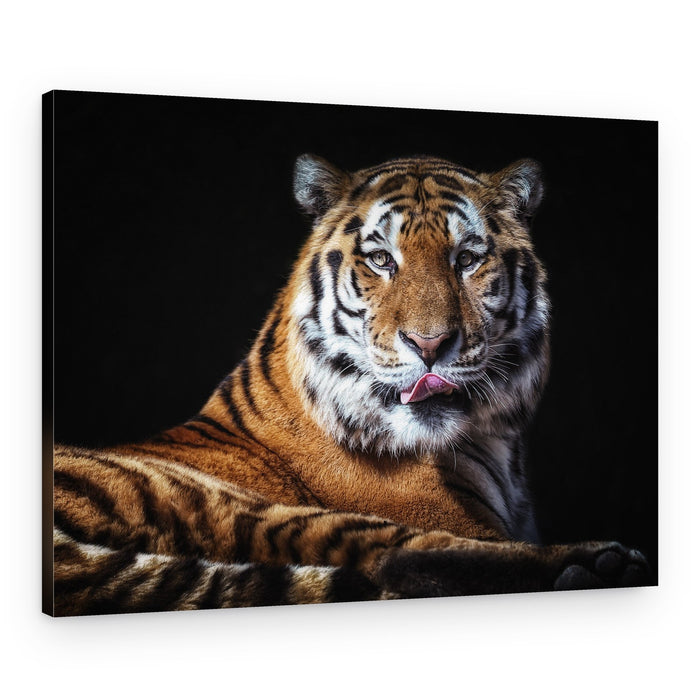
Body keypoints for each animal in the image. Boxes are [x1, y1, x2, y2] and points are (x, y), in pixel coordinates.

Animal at [49, 154, 650, 616]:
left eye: (467, 259)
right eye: (381, 259)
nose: (430, 344)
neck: (493, 445)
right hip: (209, 497)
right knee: (392, 554)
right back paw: (598, 564)